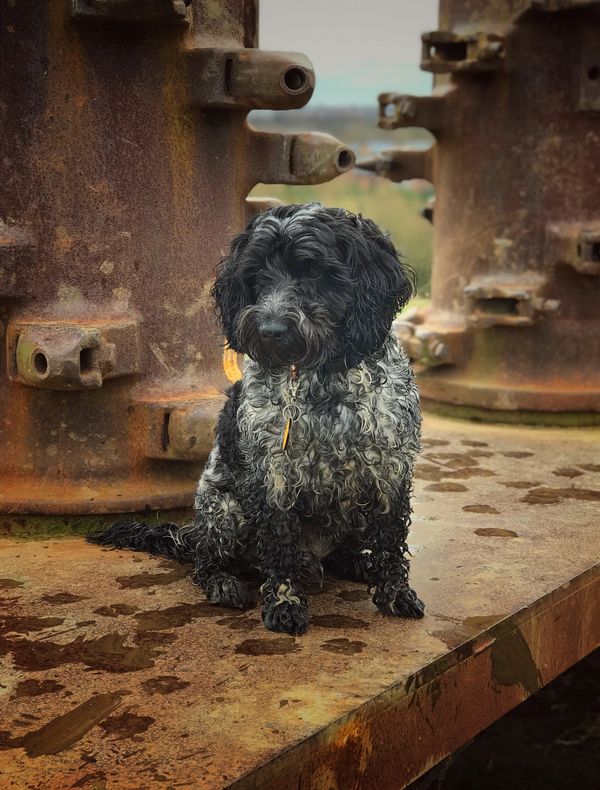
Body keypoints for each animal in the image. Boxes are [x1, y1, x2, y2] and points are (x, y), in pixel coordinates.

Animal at [90, 204, 426, 636]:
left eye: (313, 271)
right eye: (257, 276)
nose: (270, 329)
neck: (323, 380)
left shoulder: (390, 471)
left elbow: (391, 541)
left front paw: (394, 593)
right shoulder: (272, 476)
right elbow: (279, 548)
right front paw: (284, 604)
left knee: (339, 556)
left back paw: (359, 564)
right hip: (222, 509)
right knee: (206, 561)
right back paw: (223, 583)